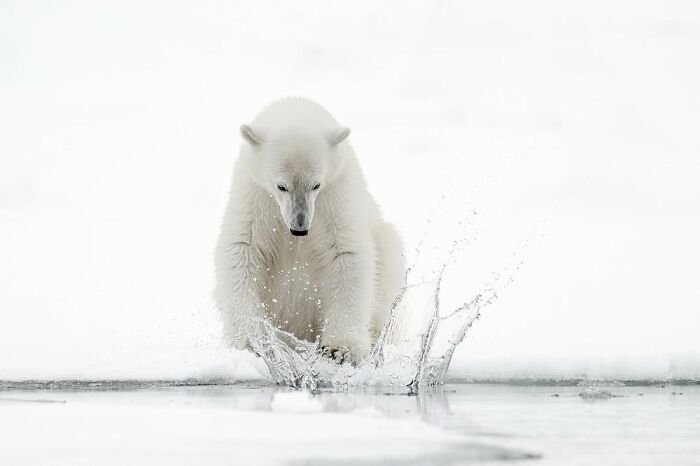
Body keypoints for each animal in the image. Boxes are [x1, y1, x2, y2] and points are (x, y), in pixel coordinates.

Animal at [214, 97, 405, 363]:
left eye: (315, 184)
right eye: (281, 186)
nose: (299, 228)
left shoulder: (336, 194)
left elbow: (346, 251)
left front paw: (341, 348)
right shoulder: (255, 194)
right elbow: (243, 248)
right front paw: (254, 340)